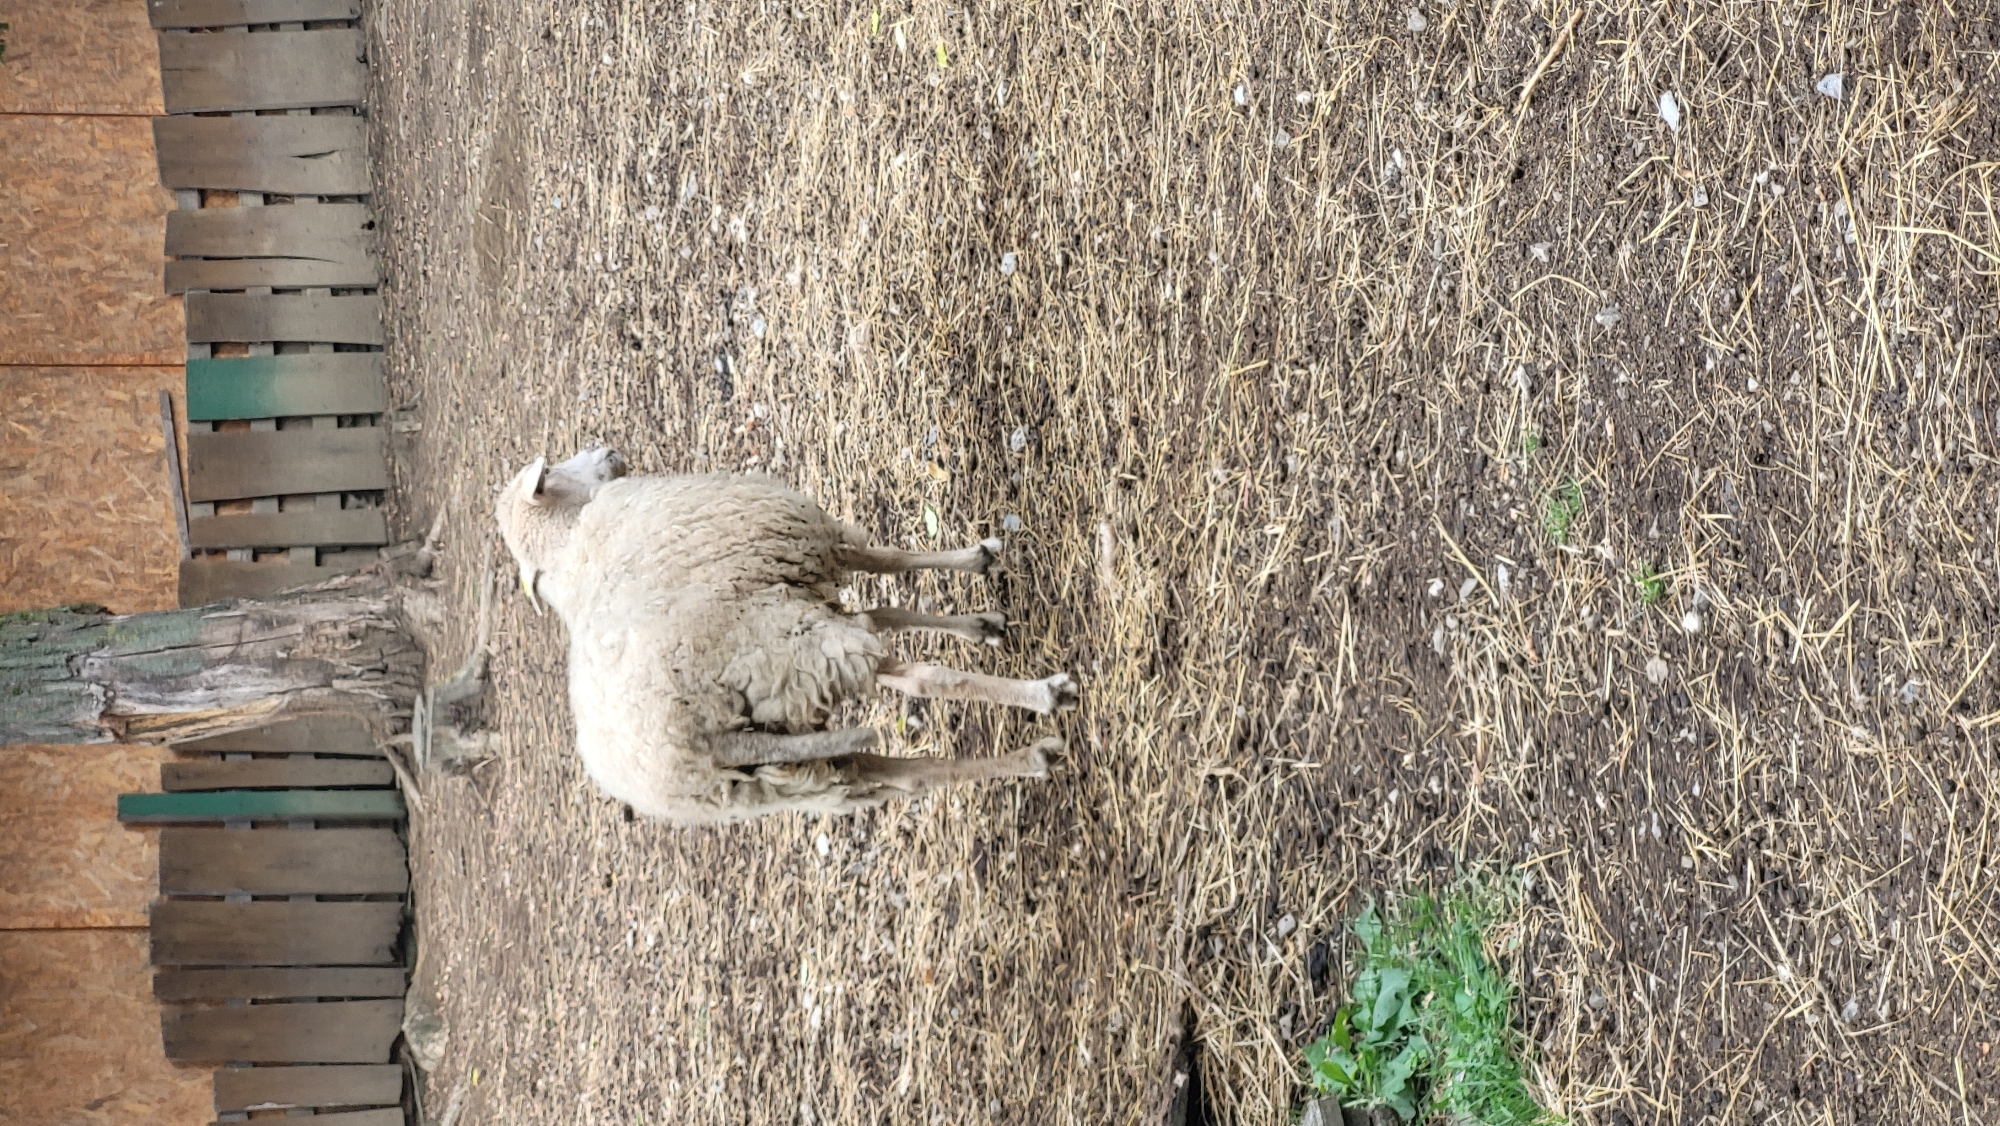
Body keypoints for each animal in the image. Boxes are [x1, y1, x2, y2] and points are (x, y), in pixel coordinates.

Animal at [494, 447, 1076, 825]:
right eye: (555, 470)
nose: (609, 450)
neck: (571, 544)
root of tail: (702, 747)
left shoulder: (797, 578)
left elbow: (886, 598)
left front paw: (979, 617)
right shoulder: (805, 547)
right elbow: (888, 565)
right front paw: (979, 564)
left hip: (789, 769)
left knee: (900, 774)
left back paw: (1031, 758)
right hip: (792, 653)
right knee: (924, 680)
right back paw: (1046, 701)